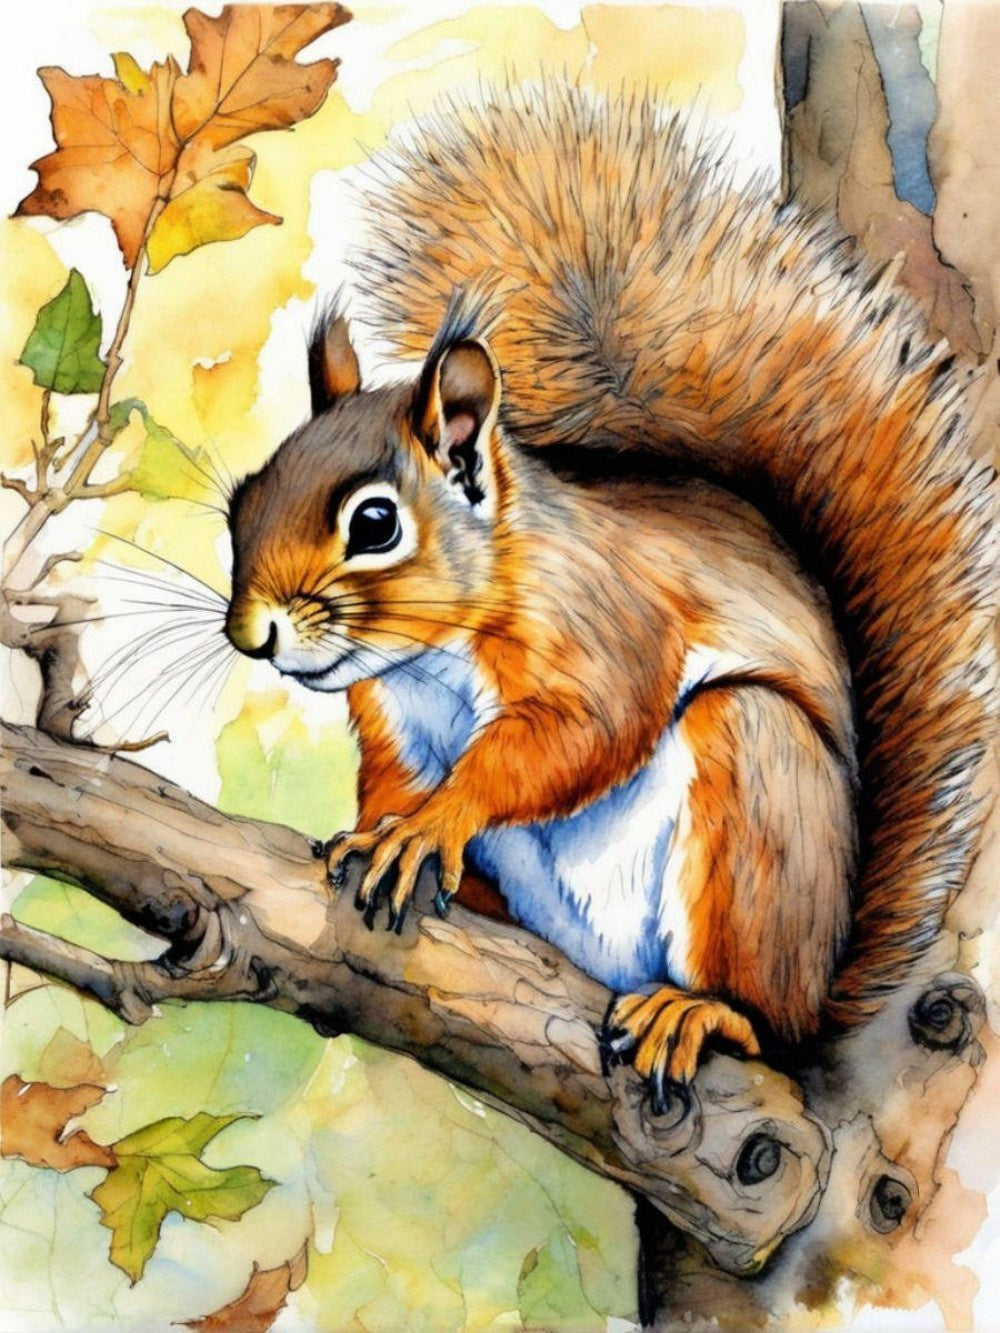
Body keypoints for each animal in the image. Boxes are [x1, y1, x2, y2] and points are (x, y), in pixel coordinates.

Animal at [224, 81, 996, 1100]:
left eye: (376, 523)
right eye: (241, 500)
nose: (251, 633)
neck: (435, 653)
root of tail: (821, 988)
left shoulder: (606, 621)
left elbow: (583, 730)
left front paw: (435, 821)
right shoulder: (393, 719)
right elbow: (393, 779)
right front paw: (380, 828)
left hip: (756, 790)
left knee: (761, 1013)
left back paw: (702, 1009)